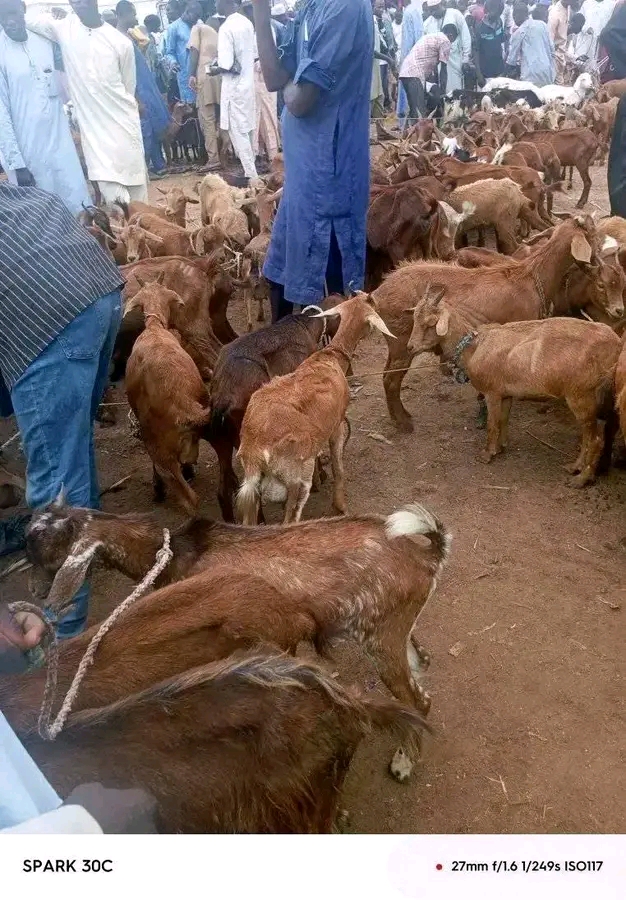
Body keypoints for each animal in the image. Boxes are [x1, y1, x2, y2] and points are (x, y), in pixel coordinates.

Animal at [23, 498, 450, 781]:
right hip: (394, 630)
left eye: (42, 546)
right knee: (423, 667)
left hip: (379, 637)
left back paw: (403, 763)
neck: (176, 554)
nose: (36, 593)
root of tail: (429, 554)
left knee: (419, 700)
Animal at [236, 294, 394, 525]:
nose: (371, 296)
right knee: (290, 519)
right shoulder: (337, 425)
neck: (331, 356)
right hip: (298, 477)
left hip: (253, 487)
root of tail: (256, 448)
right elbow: (338, 468)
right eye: (371, 304)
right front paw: (340, 506)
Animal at [373, 215, 604, 431]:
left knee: (386, 376)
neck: (531, 276)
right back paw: (403, 422)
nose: (599, 264)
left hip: (396, 342)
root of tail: (377, 295)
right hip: (403, 341)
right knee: (391, 380)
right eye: (592, 234)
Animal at [407, 297, 621, 486]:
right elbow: (503, 419)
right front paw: (500, 448)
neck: (474, 347)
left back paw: (581, 479)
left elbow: (492, 424)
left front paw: (487, 454)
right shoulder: (506, 393)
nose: (410, 347)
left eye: (430, 323)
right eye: (415, 318)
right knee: (587, 436)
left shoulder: (492, 392)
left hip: (581, 394)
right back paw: (574, 467)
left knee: (596, 439)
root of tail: (616, 344)